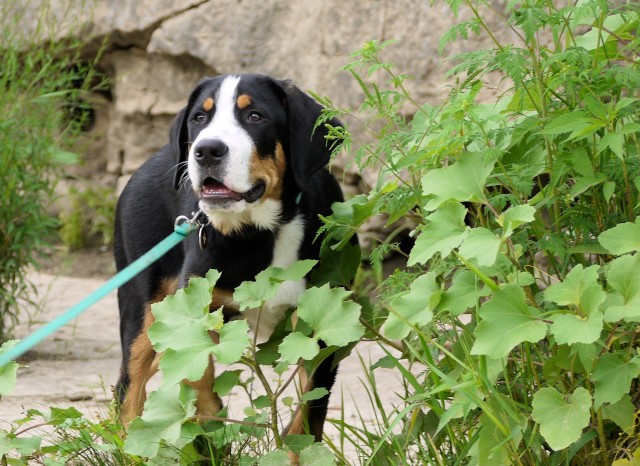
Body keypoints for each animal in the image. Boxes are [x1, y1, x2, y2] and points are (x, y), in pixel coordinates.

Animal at [112, 73, 348, 444]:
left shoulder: (321, 322)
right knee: (128, 388)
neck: (257, 233)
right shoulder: (193, 310)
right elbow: (199, 377)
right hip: (143, 305)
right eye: (199, 117)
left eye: (255, 116)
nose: (206, 150)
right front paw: (212, 430)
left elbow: (308, 415)